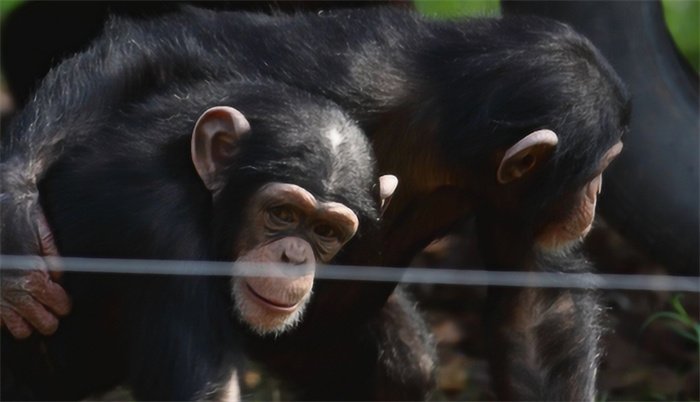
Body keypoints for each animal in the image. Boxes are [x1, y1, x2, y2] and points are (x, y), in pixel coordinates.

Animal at [2, 7, 632, 402]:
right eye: (599, 170)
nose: (594, 198)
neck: (452, 137)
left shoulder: (521, 199)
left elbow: (537, 307)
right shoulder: (354, 65)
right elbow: (170, 45)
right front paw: (16, 216)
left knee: (403, 369)